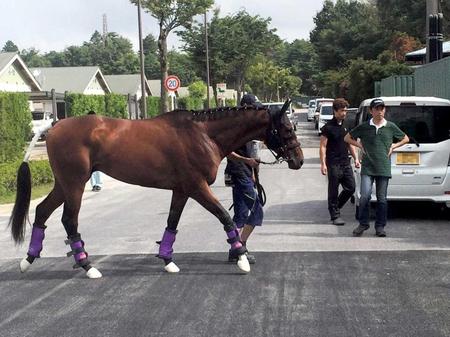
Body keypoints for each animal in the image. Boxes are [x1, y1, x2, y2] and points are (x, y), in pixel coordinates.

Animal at [8, 100, 304, 278]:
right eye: (287, 129)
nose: (298, 160)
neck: (203, 134)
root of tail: (56, 124)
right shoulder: (197, 187)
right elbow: (225, 216)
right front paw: (241, 258)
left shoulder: (182, 190)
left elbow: (172, 223)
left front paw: (167, 260)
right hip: (75, 184)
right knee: (69, 220)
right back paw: (87, 266)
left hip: (64, 184)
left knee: (42, 211)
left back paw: (28, 260)